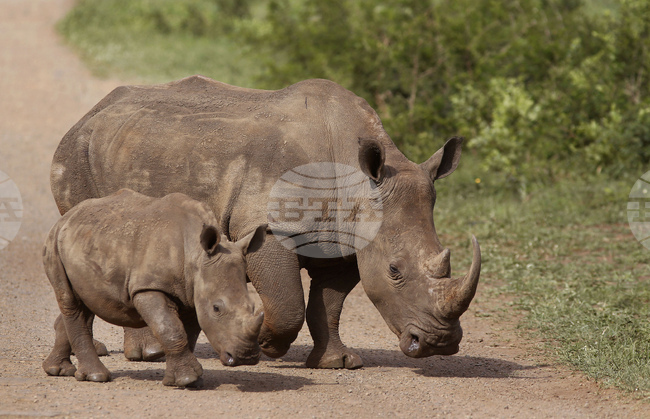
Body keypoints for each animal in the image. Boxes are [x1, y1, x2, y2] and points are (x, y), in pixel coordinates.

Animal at [42, 188, 266, 386]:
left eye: (252, 307)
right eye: (217, 308)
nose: (246, 357)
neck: (196, 254)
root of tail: (67, 217)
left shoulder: (192, 291)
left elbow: (186, 333)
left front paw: (186, 379)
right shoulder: (149, 287)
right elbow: (170, 328)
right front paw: (187, 379)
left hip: (85, 243)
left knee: (86, 301)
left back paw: (57, 370)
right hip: (54, 244)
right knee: (71, 302)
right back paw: (96, 377)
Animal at [51, 76, 481, 369]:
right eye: (395, 270)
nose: (439, 344)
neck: (357, 184)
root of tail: (90, 113)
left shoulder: (347, 239)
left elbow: (329, 304)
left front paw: (337, 362)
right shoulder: (269, 227)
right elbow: (289, 302)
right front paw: (269, 346)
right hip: (77, 153)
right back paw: (149, 353)